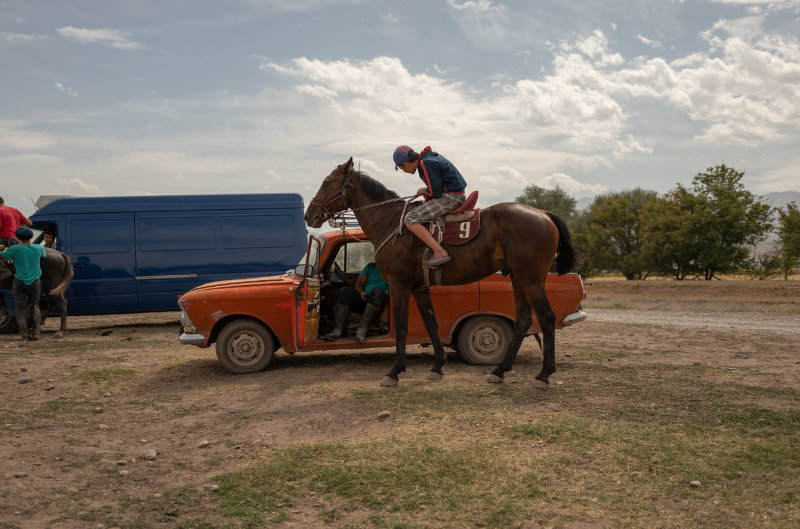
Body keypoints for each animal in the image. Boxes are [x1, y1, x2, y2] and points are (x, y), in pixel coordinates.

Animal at [304, 159, 576, 386]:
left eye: (327, 183)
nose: (309, 215)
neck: (391, 224)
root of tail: (543, 214)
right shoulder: (419, 287)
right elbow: (431, 323)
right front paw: (437, 366)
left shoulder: (398, 285)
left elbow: (401, 326)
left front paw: (395, 372)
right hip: (518, 279)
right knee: (523, 320)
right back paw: (499, 371)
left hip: (531, 280)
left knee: (547, 317)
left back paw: (544, 374)